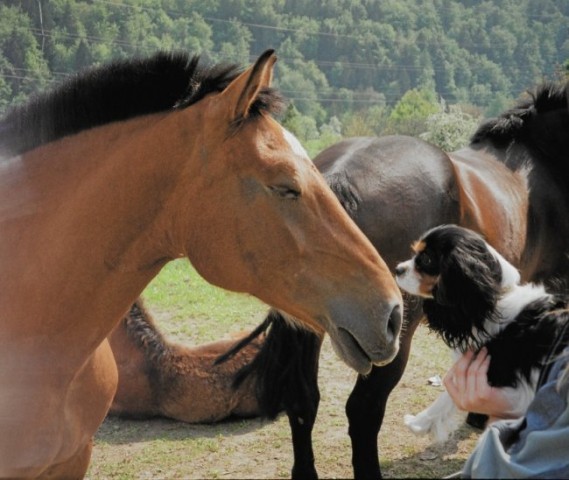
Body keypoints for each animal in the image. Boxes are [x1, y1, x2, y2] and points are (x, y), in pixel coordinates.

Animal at [394, 225, 568, 442]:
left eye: (426, 259)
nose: (397, 269)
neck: (496, 301)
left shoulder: (498, 375)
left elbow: (449, 393)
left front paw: (418, 423)